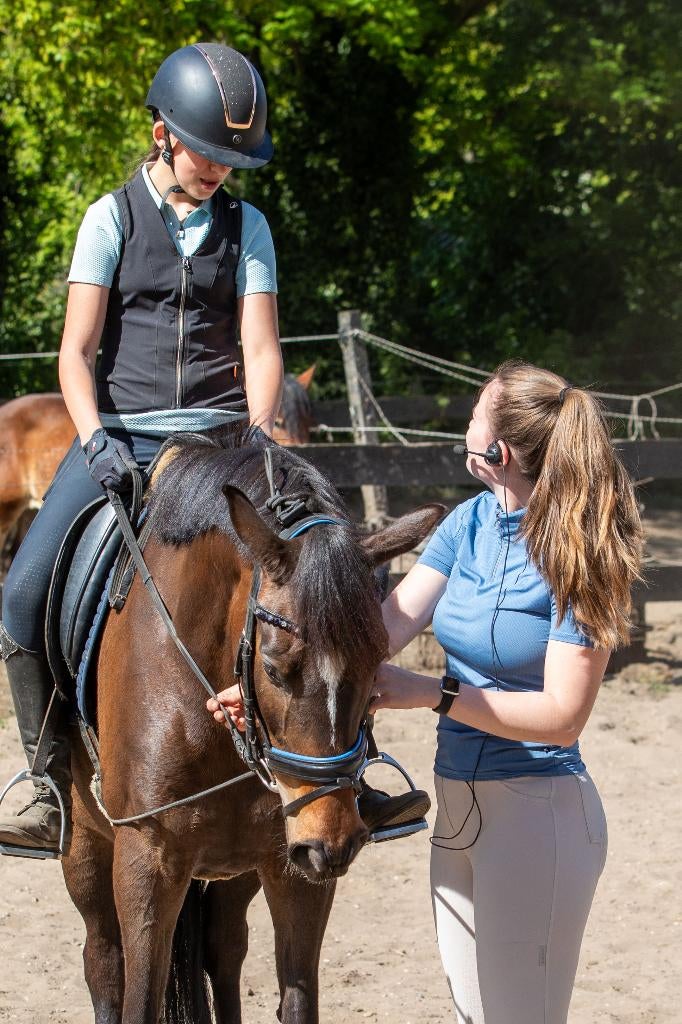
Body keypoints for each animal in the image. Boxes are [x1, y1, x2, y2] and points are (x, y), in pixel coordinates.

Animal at [61, 422, 442, 1024]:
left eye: (379, 659)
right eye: (273, 664)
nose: (334, 842)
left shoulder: (293, 863)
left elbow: (298, 998)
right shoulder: (146, 858)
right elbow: (137, 998)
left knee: (224, 950)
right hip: (84, 850)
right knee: (102, 959)